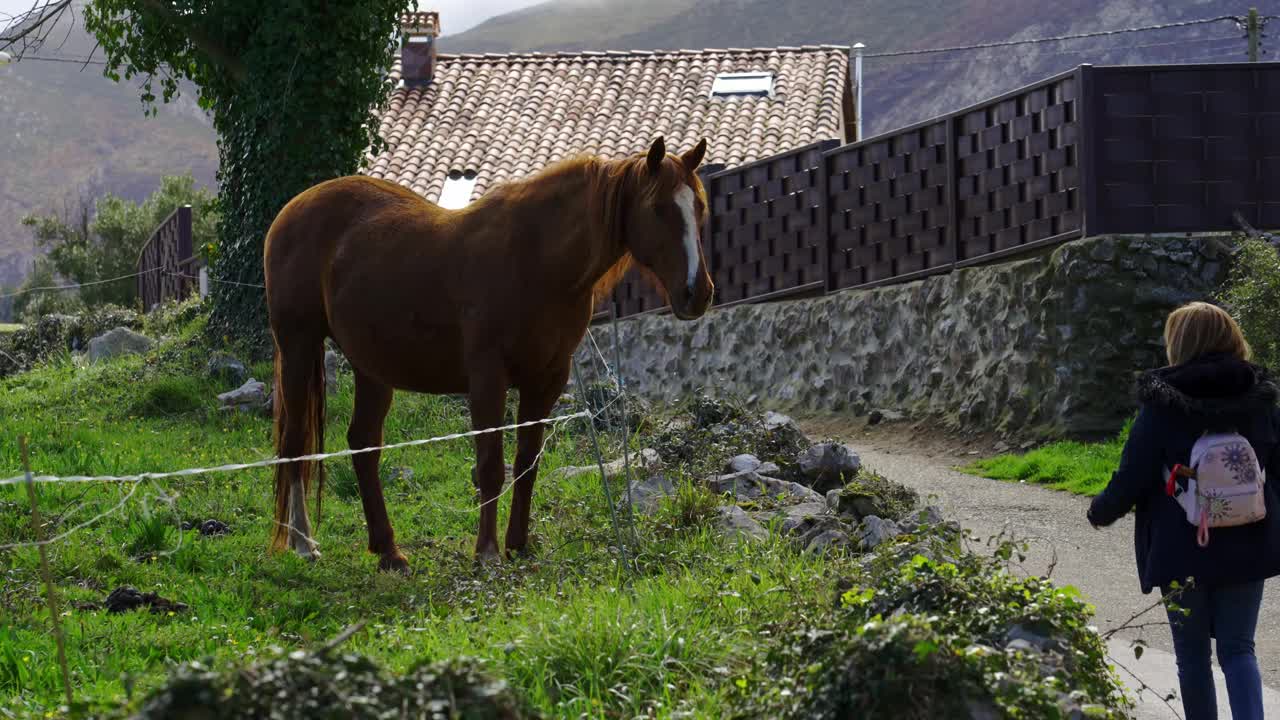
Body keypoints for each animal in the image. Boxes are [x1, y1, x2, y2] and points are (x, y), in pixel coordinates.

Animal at [264, 137, 716, 568]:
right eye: (658, 208)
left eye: (699, 207)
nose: (698, 293)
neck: (536, 259)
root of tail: (290, 211)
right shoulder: (487, 378)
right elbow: (490, 466)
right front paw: (487, 552)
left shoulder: (546, 381)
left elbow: (528, 463)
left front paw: (519, 544)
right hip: (299, 347)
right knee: (296, 442)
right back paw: (304, 544)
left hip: (371, 367)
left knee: (363, 444)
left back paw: (388, 551)